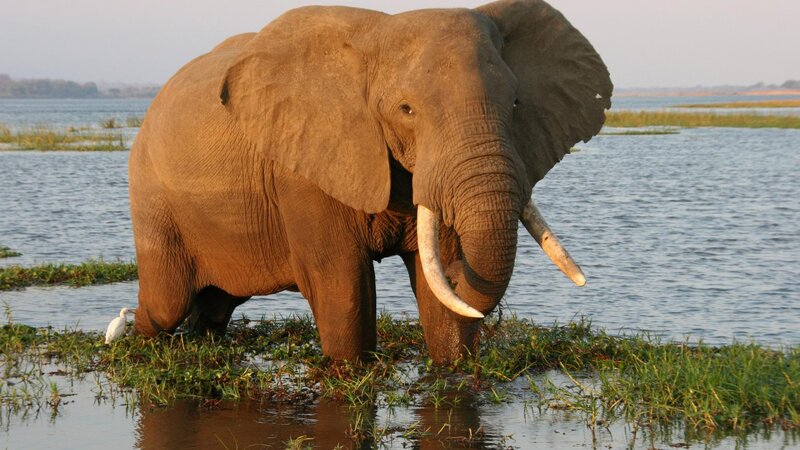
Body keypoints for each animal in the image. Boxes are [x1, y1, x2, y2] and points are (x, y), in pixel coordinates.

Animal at [128, 0, 612, 363]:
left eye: (514, 103)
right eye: (406, 109)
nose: (460, 275)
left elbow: (437, 296)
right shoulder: (304, 167)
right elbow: (342, 284)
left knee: (215, 304)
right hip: (150, 193)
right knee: (165, 303)